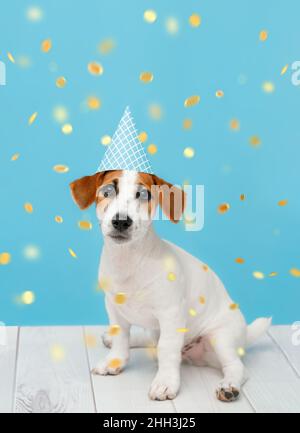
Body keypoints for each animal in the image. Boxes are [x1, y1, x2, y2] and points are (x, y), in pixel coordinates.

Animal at [71, 169, 272, 402]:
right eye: (108, 192)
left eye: (143, 194)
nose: (121, 221)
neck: (130, 260)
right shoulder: (114, 308)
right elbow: (121, 337)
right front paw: (115, 361)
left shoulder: (171, 313)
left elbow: (166, 349)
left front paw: (165, 382)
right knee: (147, 339)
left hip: (221, 338)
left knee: (236, 366)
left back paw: (228, 386)